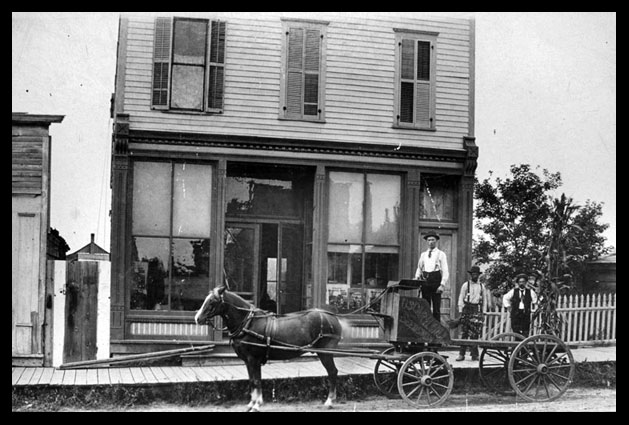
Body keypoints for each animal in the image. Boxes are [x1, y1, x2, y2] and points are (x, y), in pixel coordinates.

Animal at [195, 284, 344, 410]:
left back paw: (329, 401)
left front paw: (256, 405)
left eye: (213, 301)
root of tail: (333, 318)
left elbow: (256, 381)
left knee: (332, 372)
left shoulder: (253, 359)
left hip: (325, 353)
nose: (197, 318)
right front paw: (253, 403)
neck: (248, 323)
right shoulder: (249, 361)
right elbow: (253, 381)